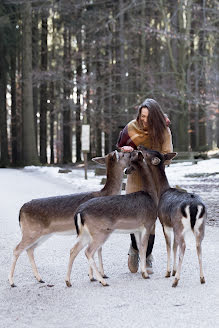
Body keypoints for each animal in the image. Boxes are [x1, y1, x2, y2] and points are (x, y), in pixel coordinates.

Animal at [9, 150, 132, 286]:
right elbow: (96, 250)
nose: (131, 153)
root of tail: (21, 210)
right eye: (123, 155)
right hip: (31, 231)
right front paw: (95, 276)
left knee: (30, 249)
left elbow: (98, 249)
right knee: (17, 249)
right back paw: (12, 281)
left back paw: (40, 278)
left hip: (41, 234)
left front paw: (99, 275)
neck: (105, 194)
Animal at [64, 151, 158, 288]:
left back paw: (68, 281)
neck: (150, 195)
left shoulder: (136, 229)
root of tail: (79, 212)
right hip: (100, 231)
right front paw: (145, 274)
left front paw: (143, 272)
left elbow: (140, 248)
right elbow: (144, 247)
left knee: (73, 249)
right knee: (88, 251)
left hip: (85, 233)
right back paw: (102, 281)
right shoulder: (148, 223)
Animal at [138, 146, 206, 288]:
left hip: (180, 224)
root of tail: (193, 206)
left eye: (148, 152)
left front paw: (169, 272)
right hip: (199, 226)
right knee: (198, 246)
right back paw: (202, 278)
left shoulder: (165, 224)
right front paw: (173, 271)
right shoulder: (174, 226)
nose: (140, 147)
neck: (162, 191)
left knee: (184, 246)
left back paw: (176, 280)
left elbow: (169, 247)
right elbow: (174, 246)